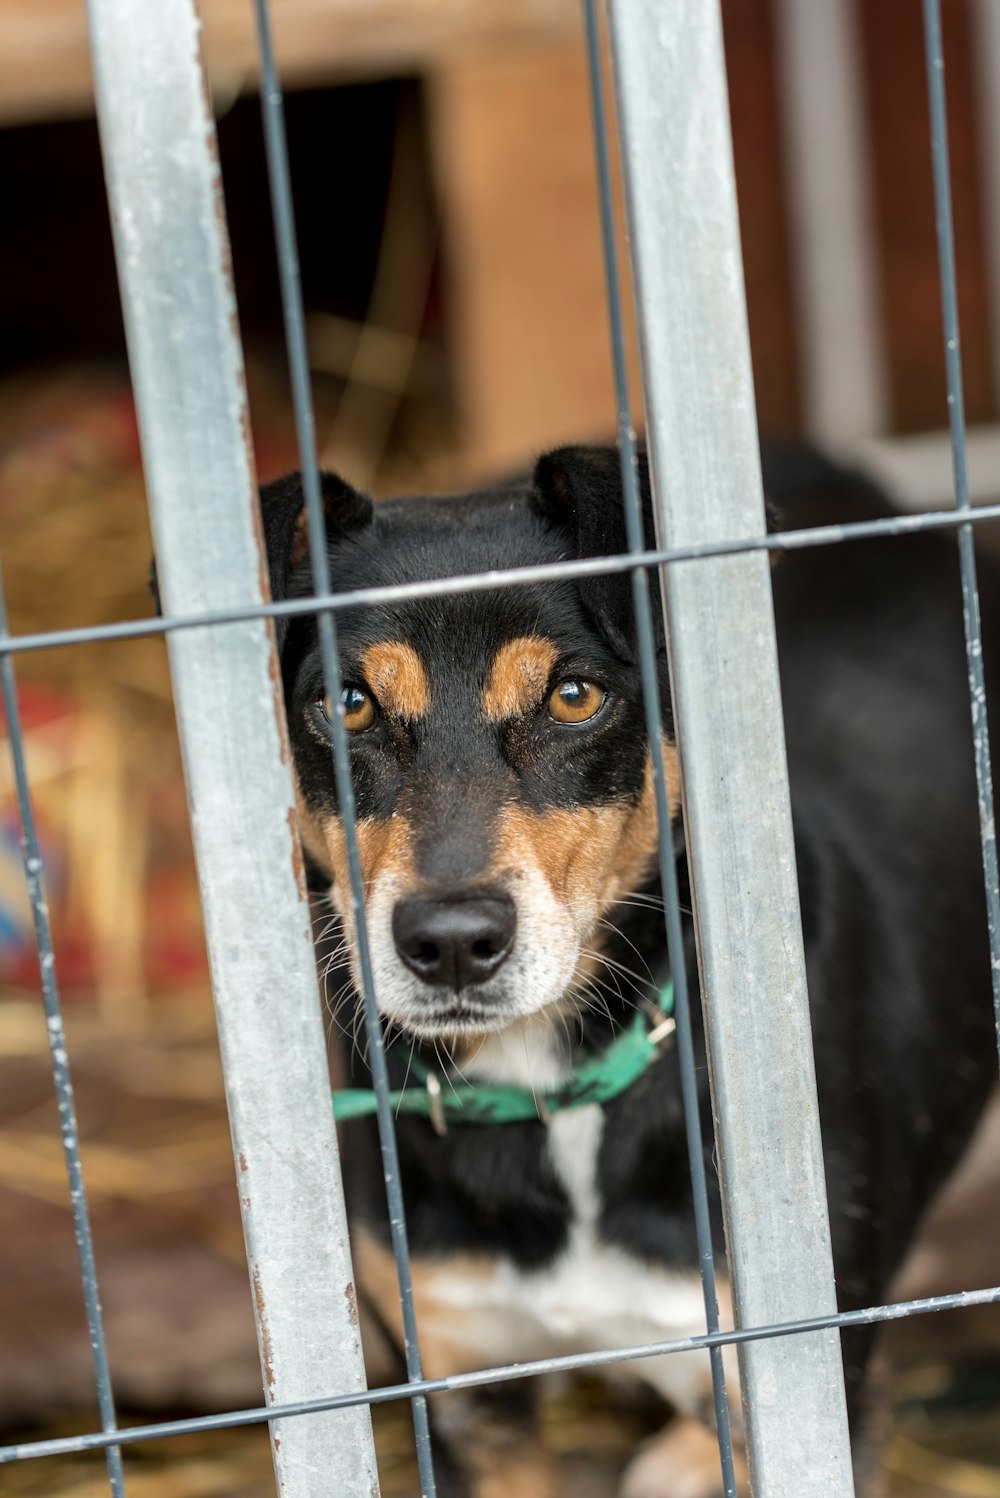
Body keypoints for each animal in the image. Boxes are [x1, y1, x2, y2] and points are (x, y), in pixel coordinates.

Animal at [260, 446, 999, 1498]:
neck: (555, 1088)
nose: (450, 942)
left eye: (575, 696)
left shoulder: (804, 1380)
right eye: (346, 703)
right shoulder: (464, 1393)